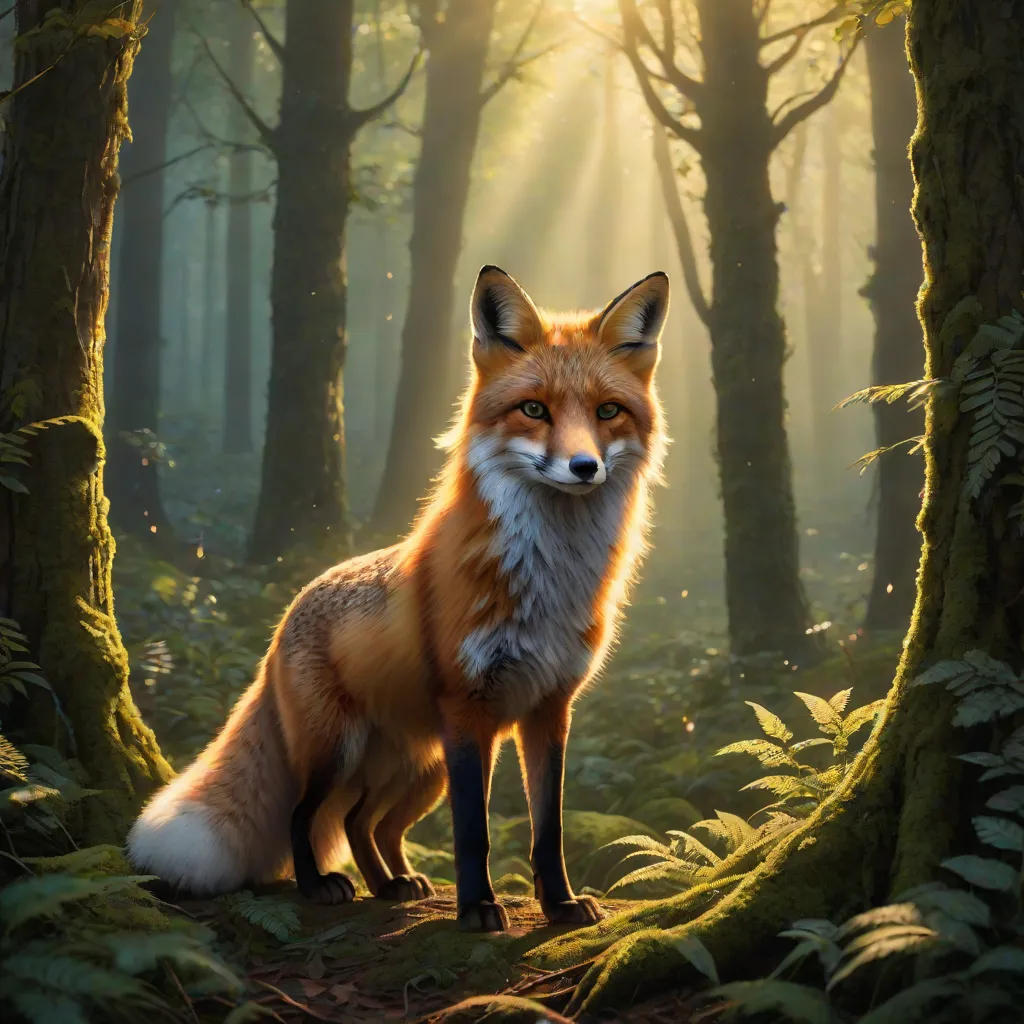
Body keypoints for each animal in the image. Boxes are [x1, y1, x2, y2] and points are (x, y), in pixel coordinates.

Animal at [128, 265, 669, 931]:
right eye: (534, 409)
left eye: (608, 411)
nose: (584, 466)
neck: (549, 580)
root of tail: (286, 616)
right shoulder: (468, 711)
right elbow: (473, 833)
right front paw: (478, 908)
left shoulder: (548, 710)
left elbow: (549, 829)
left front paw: (561, 904)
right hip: (342, 752)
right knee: (306, 814)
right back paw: (319, 886)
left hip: (418, 770)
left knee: (365, 823)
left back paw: (392, 884)